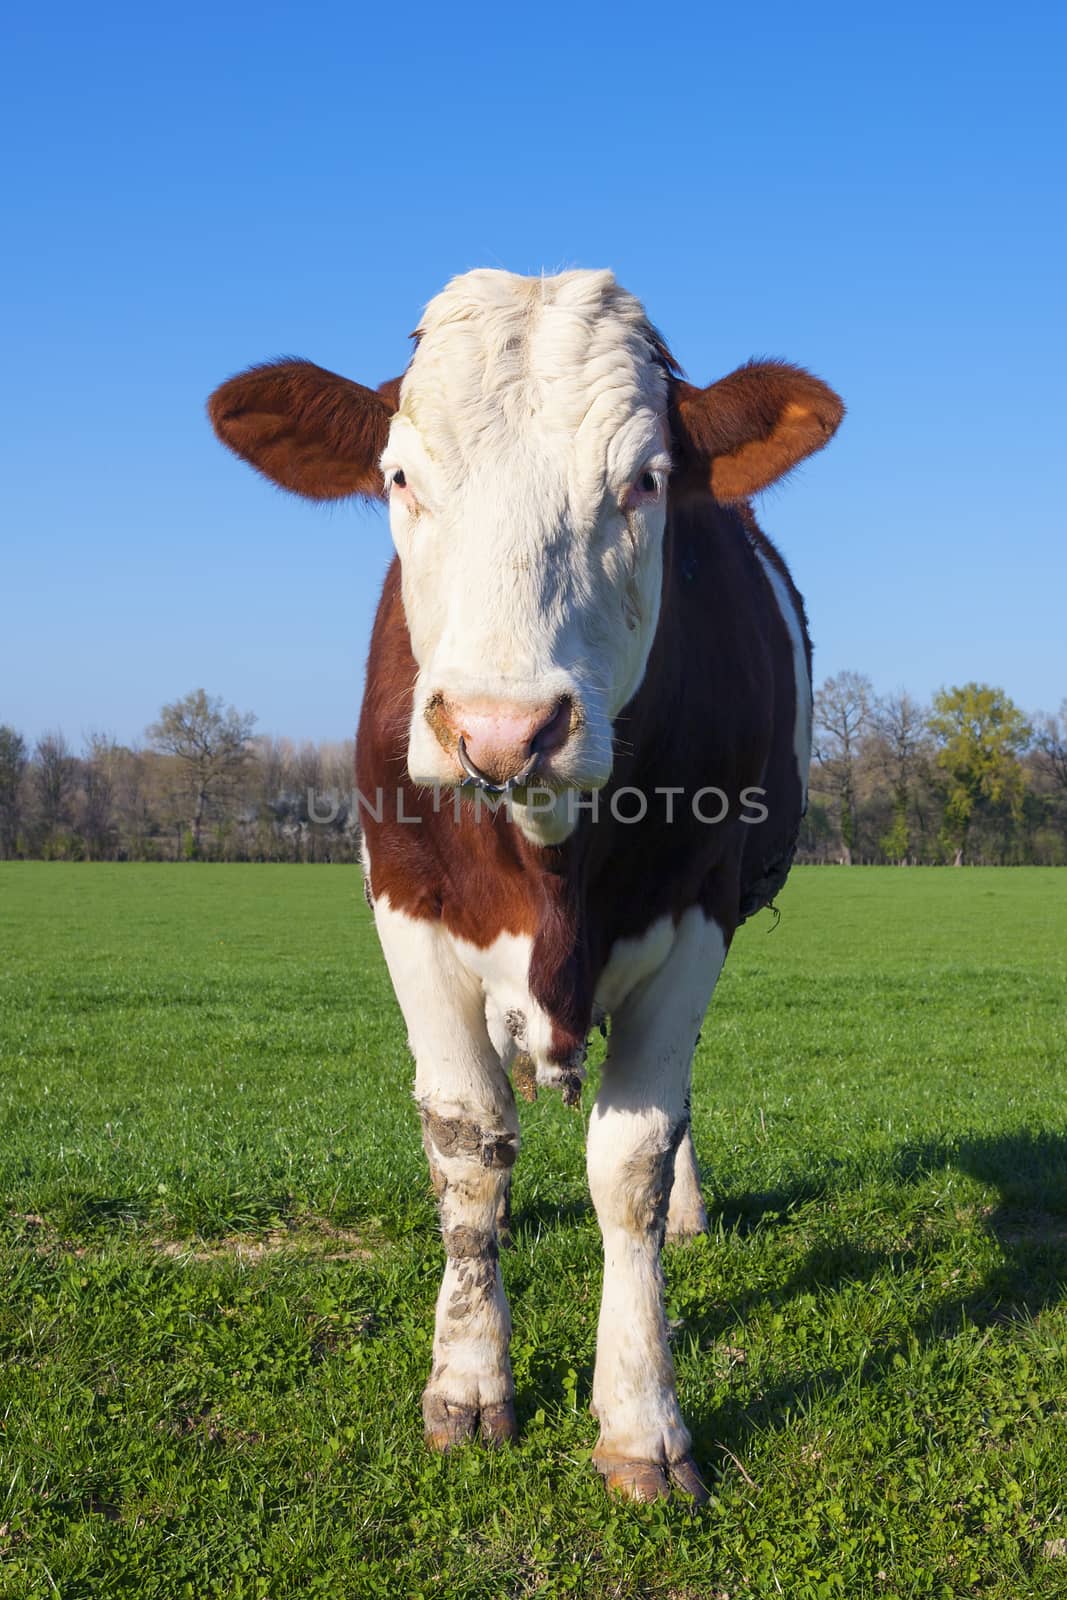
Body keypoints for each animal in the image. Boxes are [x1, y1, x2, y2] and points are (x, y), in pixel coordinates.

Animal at [207, 268, 844, 1504]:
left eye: (645, 479)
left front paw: (641, 1419)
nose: (502, 728)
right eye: (400, 476)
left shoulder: (698, 911)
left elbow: (631, 1158)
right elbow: (468, 1146)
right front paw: (465, 1382)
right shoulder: (402, 904)